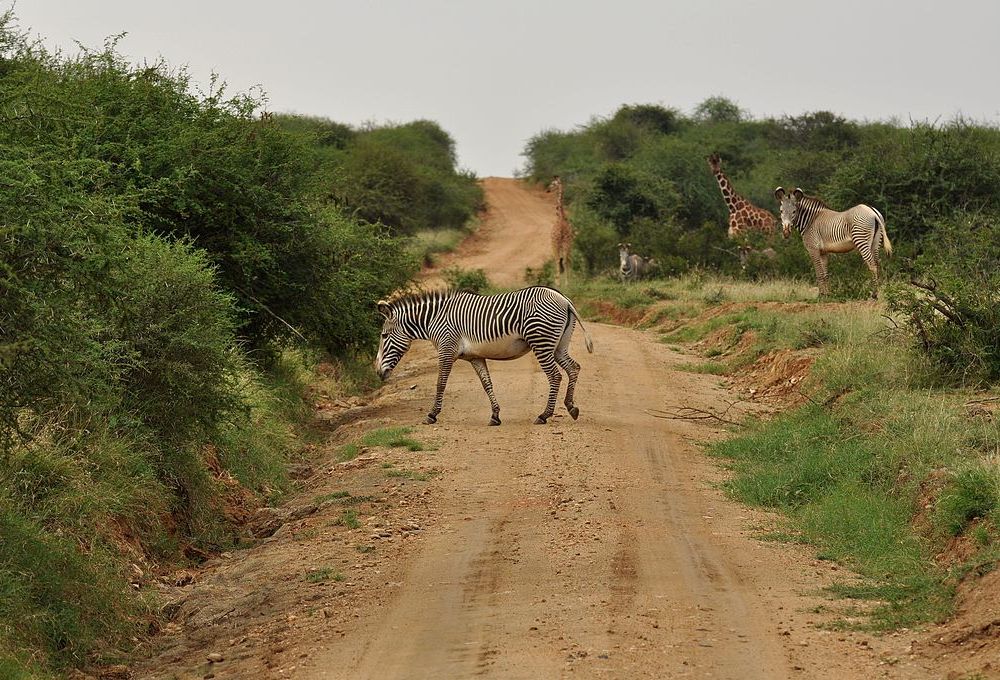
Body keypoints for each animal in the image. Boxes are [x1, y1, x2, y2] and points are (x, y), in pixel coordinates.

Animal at [376, 286, 592, 424]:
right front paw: (495, 416)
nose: (378, 372)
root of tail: (564, 299)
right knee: (574, 367)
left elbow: (440, 383)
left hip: (541, 342)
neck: (434, 319)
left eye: (384, 336)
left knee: (555, 376)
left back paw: (544, 415)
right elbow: (487, 384)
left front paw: (432, 414)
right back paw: (571, 407)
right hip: (558, 346)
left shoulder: (446, 350)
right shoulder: (475, 357)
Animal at [768, 189, 896, 300]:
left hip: (861, 240)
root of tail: (872, 211)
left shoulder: (813, 249)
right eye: (781, 211)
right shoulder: (823, 252)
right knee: (878, 263)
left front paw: (820, 295)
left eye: (794, 212)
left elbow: (819, 272)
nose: (785, 232)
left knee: (872, 265)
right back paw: (879, 292)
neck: (811, 221)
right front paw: (827, 295)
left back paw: (874, 295)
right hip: (876, 242)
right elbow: (825, 273)